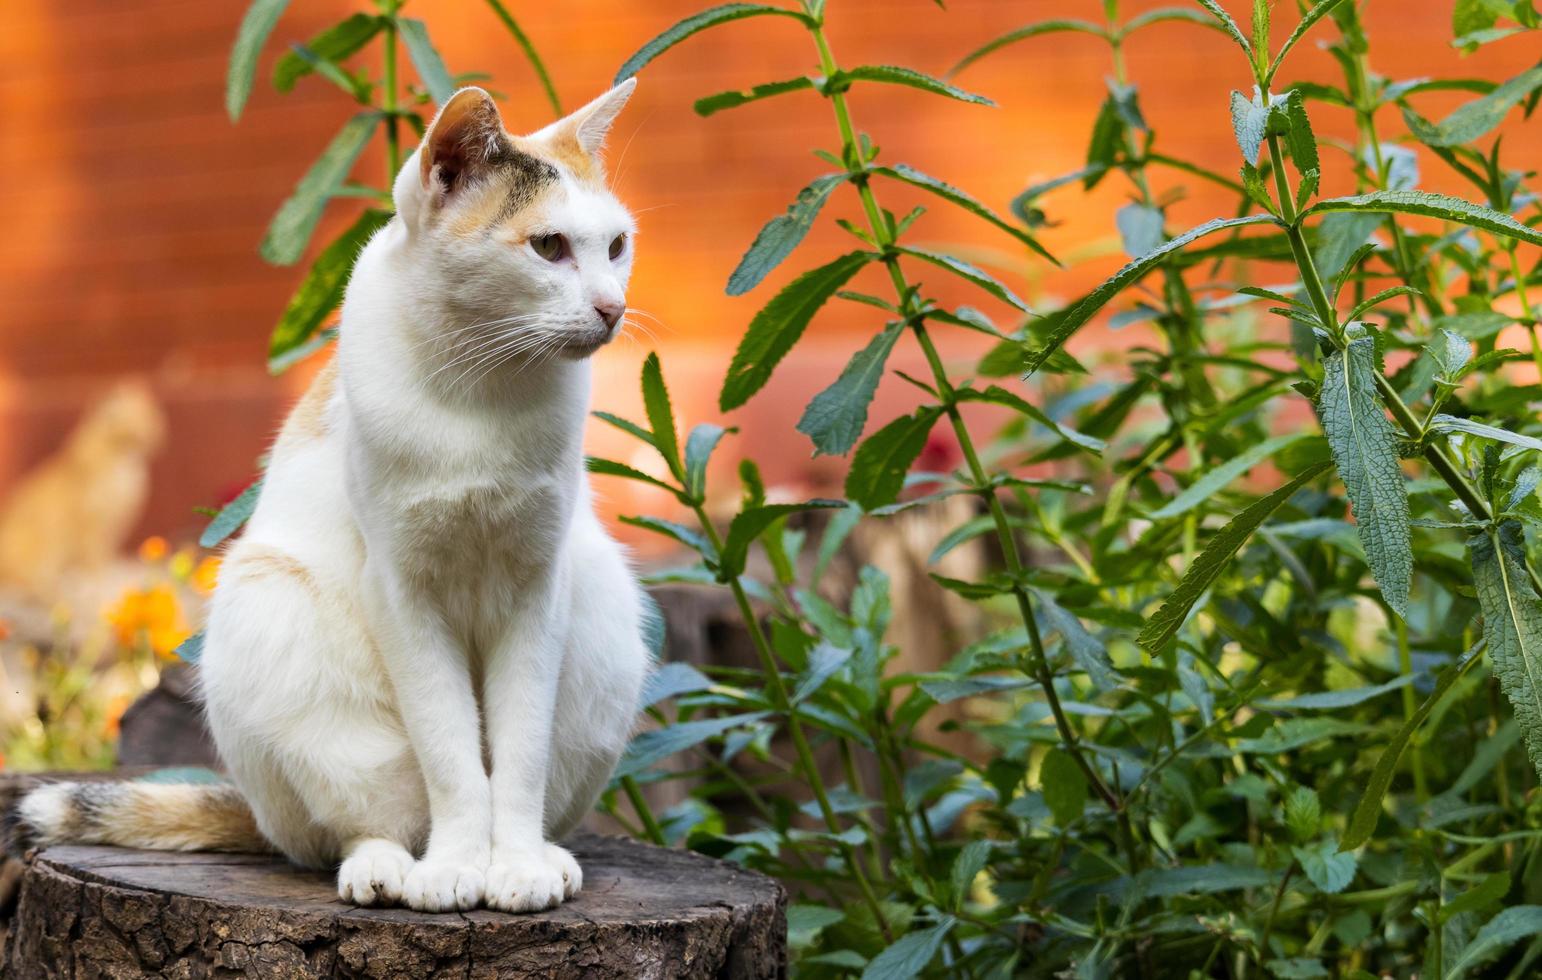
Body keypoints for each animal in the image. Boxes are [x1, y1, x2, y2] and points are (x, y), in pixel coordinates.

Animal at [19, 80, 656, 912]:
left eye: (616, 246)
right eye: (548, 247)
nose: (613, 308)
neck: (481, 391)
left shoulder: (536, 586)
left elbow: (517, 752)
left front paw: (513, 865)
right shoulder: (402, 591)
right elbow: (452, 751)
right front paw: (457, 865)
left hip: (605, 609)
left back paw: (538, 855)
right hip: (269, 610)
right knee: (358, 827)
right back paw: (391, 869)